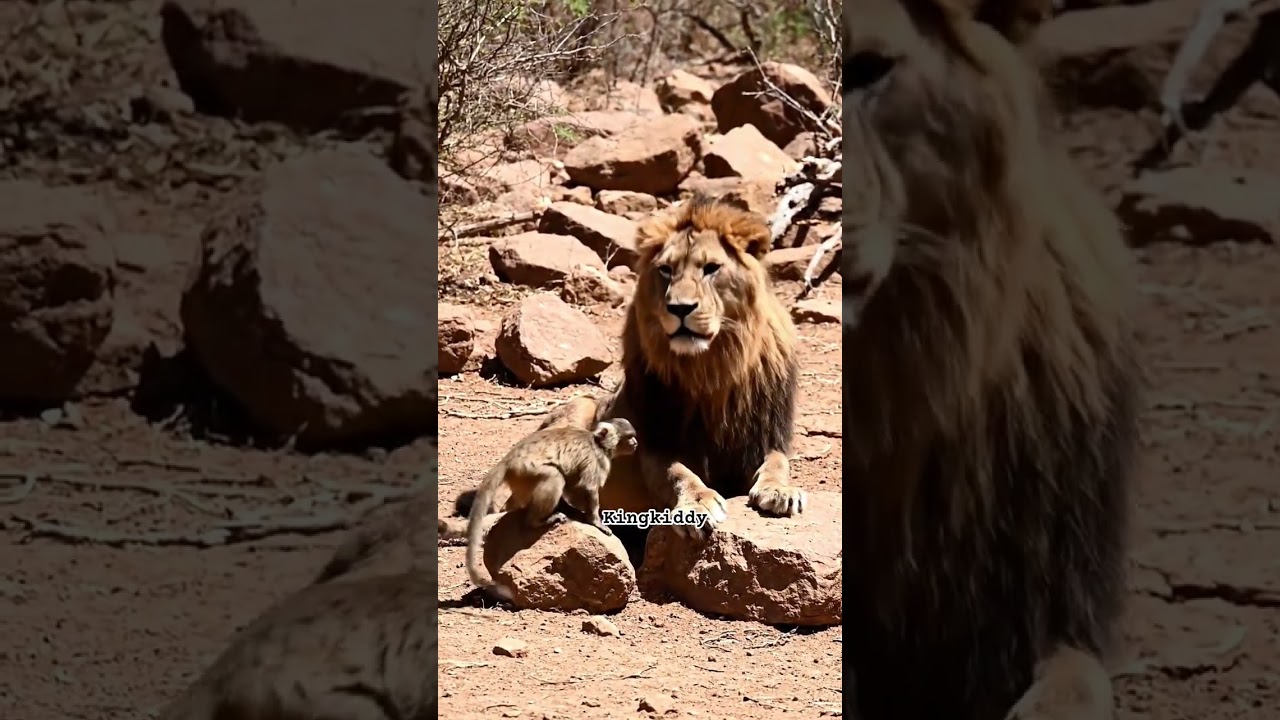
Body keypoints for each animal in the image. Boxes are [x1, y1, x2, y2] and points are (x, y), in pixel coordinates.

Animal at [465, 418, 638, 599]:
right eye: (629, 437)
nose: (635, 443)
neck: (599, 443)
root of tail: (508, 460)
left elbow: (573, 485)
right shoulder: (597, 459)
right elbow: (587, 487)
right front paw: (595, 521)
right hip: (525, 471)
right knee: (554, 475)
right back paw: (536, 521)